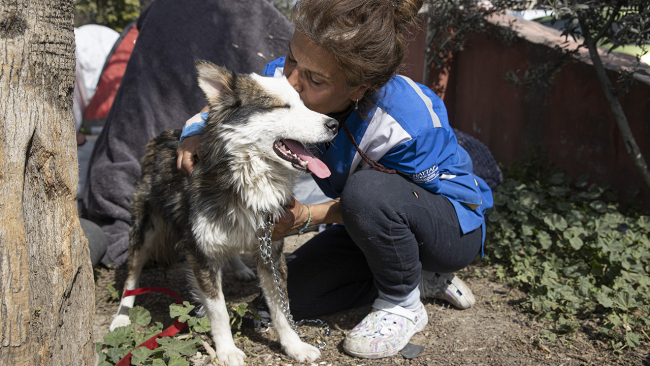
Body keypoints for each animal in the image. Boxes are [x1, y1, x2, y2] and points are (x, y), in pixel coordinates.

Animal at [108, 61, 336, 364]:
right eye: (282, 106)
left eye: (303, 103)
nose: (335, 124)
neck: (247, 179)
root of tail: (160, 137)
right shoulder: (201, 254)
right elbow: (219, 311)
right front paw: (227, 350)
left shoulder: (271, 250)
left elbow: (280, 306)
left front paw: (294, 345)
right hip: (145, 229)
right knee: (132, 274)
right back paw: (122, 317)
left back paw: (239, 267)